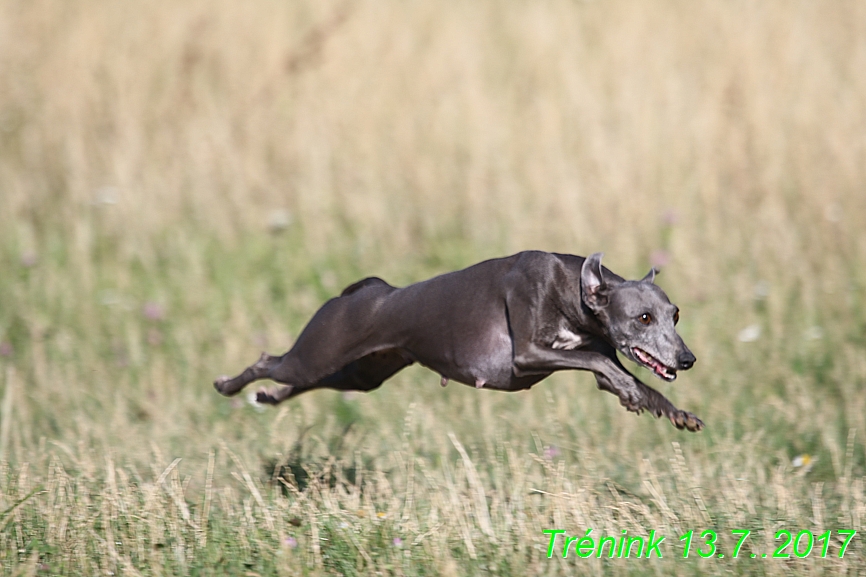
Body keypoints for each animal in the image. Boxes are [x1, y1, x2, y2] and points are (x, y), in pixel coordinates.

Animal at [214, 250, 704, 430]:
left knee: (295, 384)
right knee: (268, 360)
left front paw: (674, 412)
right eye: (643, 317)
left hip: (358, 374)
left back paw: (267, 398)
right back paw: (228, 385)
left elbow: (632, 379)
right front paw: (631, 394)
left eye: (675, 314)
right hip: (318, 351)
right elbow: (600, 365)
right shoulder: (528, 355)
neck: (571, 288)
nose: (687, 359)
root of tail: (366, 291)